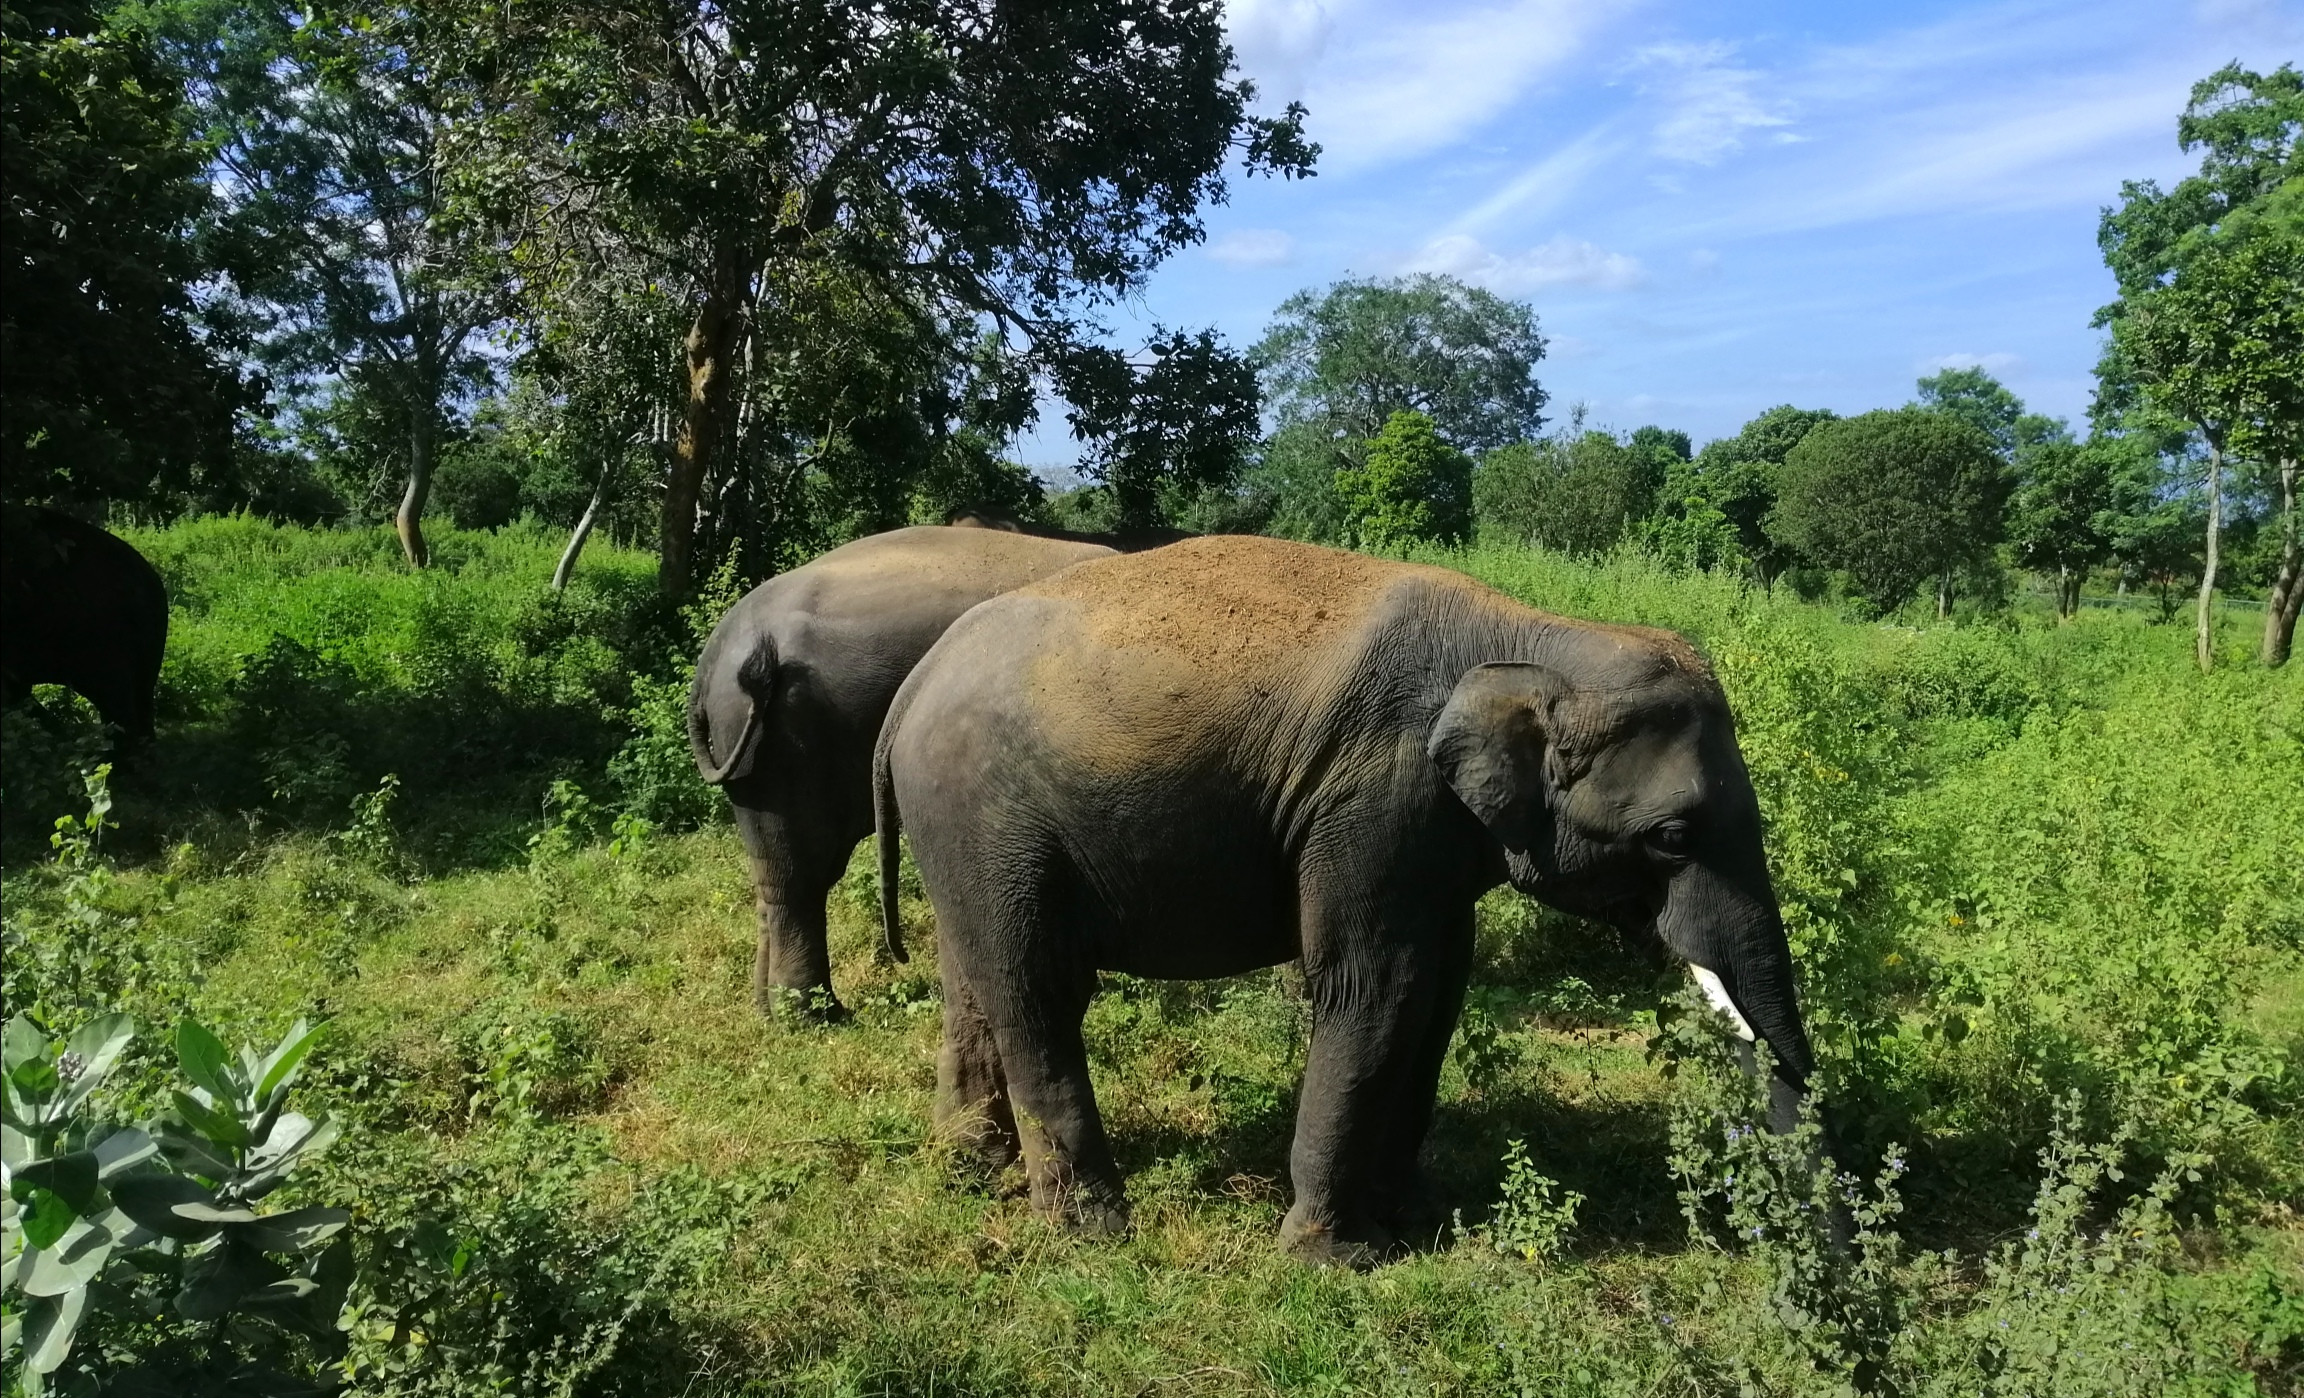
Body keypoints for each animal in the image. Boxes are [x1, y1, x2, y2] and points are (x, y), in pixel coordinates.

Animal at [688, 524, 1118, 1018]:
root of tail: (711, 661)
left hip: (753, 753)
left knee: (776, 871)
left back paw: (769, 1010)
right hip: (780, 746)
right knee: (800, 874)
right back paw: (815, 1015)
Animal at [872, 535, 1815, 1264]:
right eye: (1674, 837)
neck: (1538, 636)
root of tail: (913, 687)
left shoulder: (1430, 834)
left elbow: (1437, 991)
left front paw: (1419, 1219)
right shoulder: (1374, 796)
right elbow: (1375, 987)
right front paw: (1338, 1256)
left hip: (962, 833)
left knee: (971, 979)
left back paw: (968, 1167)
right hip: (989, 814)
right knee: (1037, 988)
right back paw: (1094, 1232)